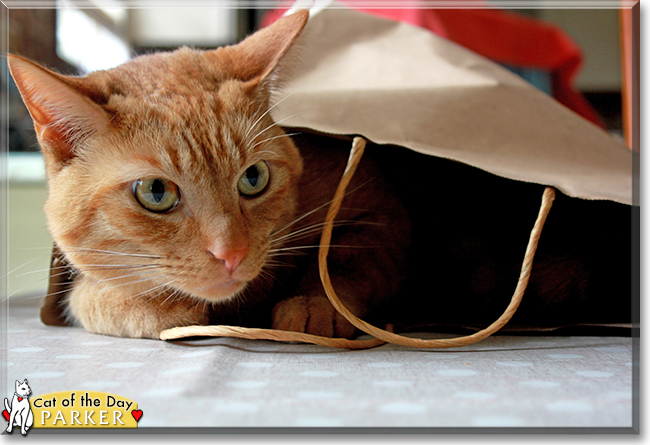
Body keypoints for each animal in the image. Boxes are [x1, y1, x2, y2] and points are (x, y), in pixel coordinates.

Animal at [7, 9, 408, 336]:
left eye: (253, 178)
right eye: (155, 192)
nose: (231, 254)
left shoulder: (380, 212)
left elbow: (343, 262)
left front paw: (315, 305)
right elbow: (87, 299)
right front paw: (155, 308)